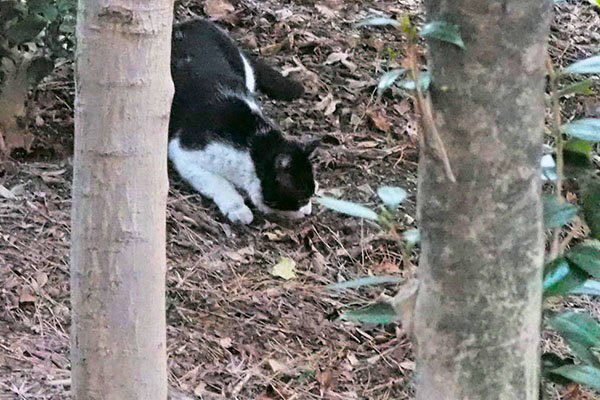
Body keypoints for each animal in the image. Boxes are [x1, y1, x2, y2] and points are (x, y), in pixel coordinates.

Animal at [169, 19, 318, 225]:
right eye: (302, 198)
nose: (308, 211)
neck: (252, 145)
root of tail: (191, 22)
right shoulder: (184, 152)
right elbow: (218, 182)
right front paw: (238, 208)